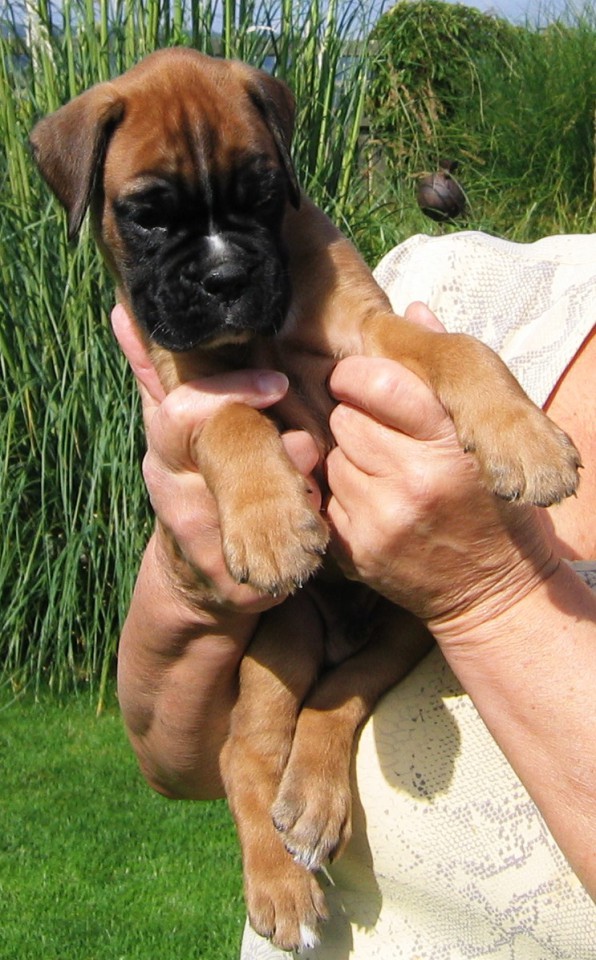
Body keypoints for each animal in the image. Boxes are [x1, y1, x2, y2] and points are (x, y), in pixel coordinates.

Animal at [29, 47, 584, 952]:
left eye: (261, 193)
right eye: (147, 215)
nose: (225, 277)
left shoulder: (369, 333)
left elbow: (458, 350)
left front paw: (526, 442)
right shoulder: (187, 383)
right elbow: (232, 423)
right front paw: (272, 525)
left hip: (404, 629)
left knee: (339, 696)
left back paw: (315, 803)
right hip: (283, 636)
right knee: (244, 753)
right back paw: (280, 884)